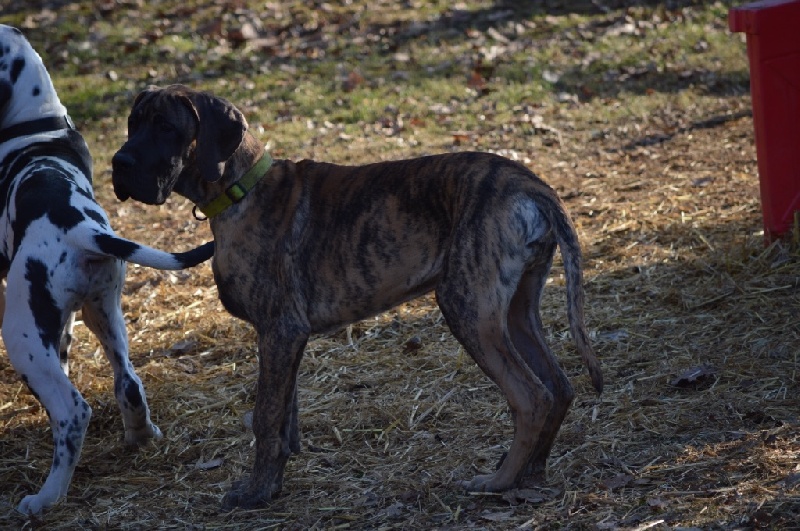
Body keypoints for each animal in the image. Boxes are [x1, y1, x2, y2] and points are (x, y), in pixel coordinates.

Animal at [0, 25, 212, 516]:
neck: (36, 122)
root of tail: (81, 227)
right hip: (104, 311)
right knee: (128, 383)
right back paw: (142, 436)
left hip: (21, 333)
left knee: (73, 411)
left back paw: (45, 498)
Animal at [111, 84, 600, 512]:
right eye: (132, 124)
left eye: (166, 128)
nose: (118, 163)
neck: (241, 189)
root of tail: (530, 183)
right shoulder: (287, 339)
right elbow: (284, 416)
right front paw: (274, 482)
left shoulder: (279, 330)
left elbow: (265, 417)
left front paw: (255, 493)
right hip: (516, 309)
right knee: (559, 387)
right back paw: (531, 473)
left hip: (468, 307)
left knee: (531, 397)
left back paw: (499, 482)